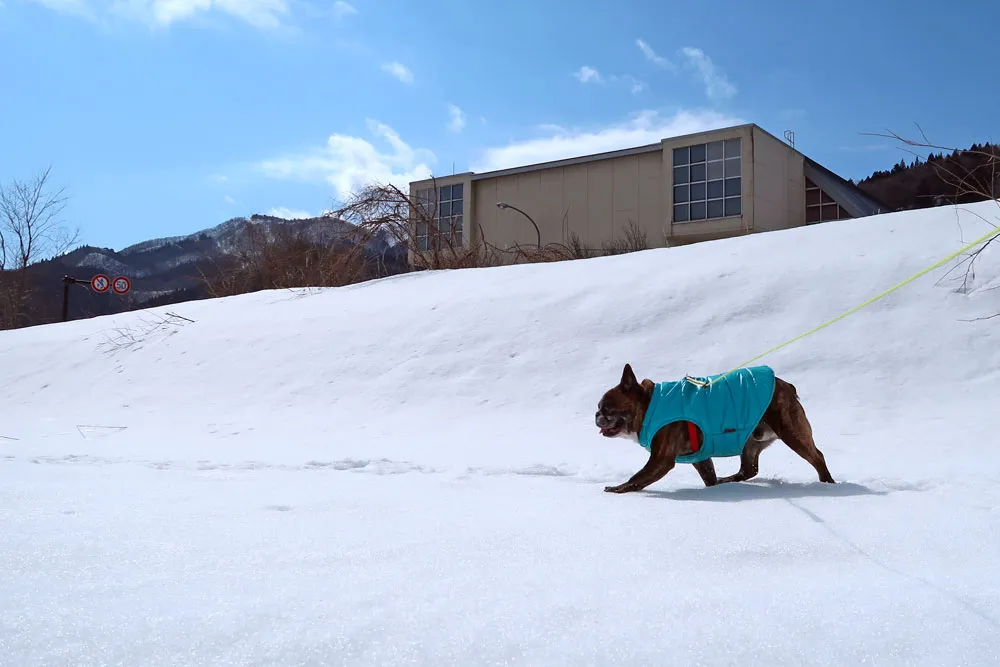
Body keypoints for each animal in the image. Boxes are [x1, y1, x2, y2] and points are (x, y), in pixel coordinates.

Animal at [592, 362, 836, 494]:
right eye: (599, 408)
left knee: (817, 457)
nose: (596, 415)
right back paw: (726, 482)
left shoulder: (660, 460)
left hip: (791, 431)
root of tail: (786, 386)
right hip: (750, 441)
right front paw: (714, 487)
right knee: (749, 470)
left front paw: (618, 489)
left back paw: (828, 484)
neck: (649, 404)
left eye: (607, 409)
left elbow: (638, 477)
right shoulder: (700, 456)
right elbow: (708, 474)